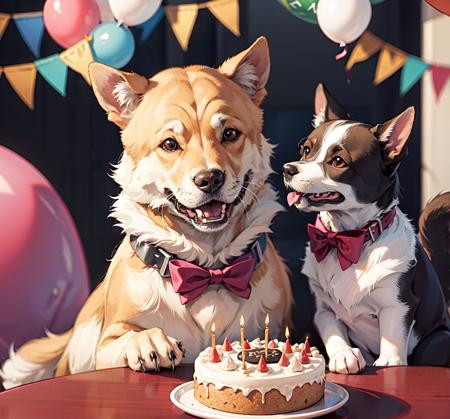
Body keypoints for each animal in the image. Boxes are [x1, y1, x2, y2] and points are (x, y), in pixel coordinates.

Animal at [284, 84, 448, 374]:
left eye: (338, 161)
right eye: (305, 150)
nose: (287, 169)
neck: (347, 238)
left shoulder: (397, 306)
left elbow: (392, 345)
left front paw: (388, 362)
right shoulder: (324, 310)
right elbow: (333, 332)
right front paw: (344, 355)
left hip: (437, 341)